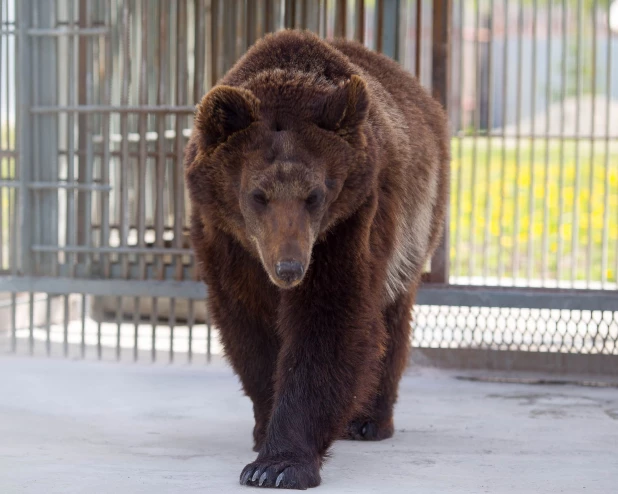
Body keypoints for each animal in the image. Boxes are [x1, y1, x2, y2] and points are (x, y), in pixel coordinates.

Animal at [183, 30, 448, 490]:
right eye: (258, 195)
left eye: (314, 195)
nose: (289, 269)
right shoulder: (224, 239)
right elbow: (248, 325)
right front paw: (264, 428)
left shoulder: (348, 224)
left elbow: (329, 323)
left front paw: (278, 464)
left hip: (416, 225)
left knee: (390, 320)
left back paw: (368, 420)